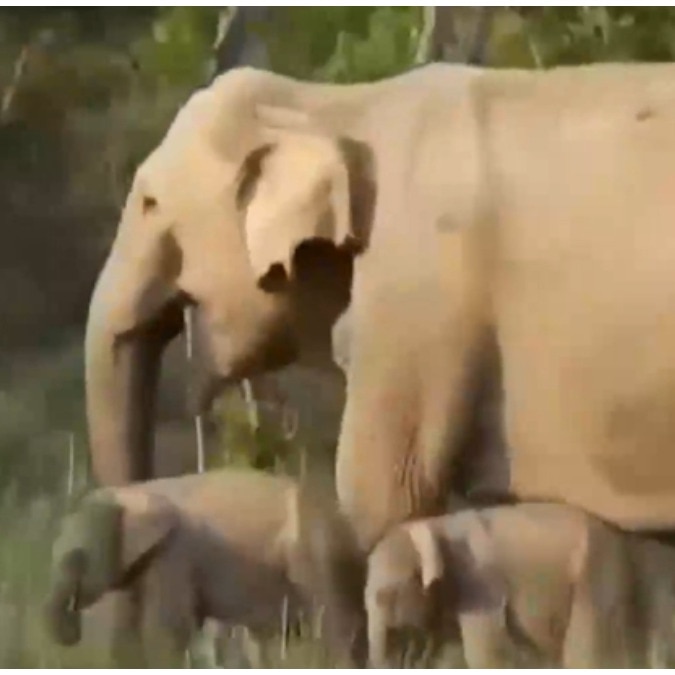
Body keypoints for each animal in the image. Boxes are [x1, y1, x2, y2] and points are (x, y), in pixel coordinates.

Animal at [44, 468, 367, 667]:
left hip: (319, 554)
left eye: (77, 558)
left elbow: (169, 626)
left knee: (335, 624)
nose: (74, 632)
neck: (133, 493)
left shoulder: (176, 553)